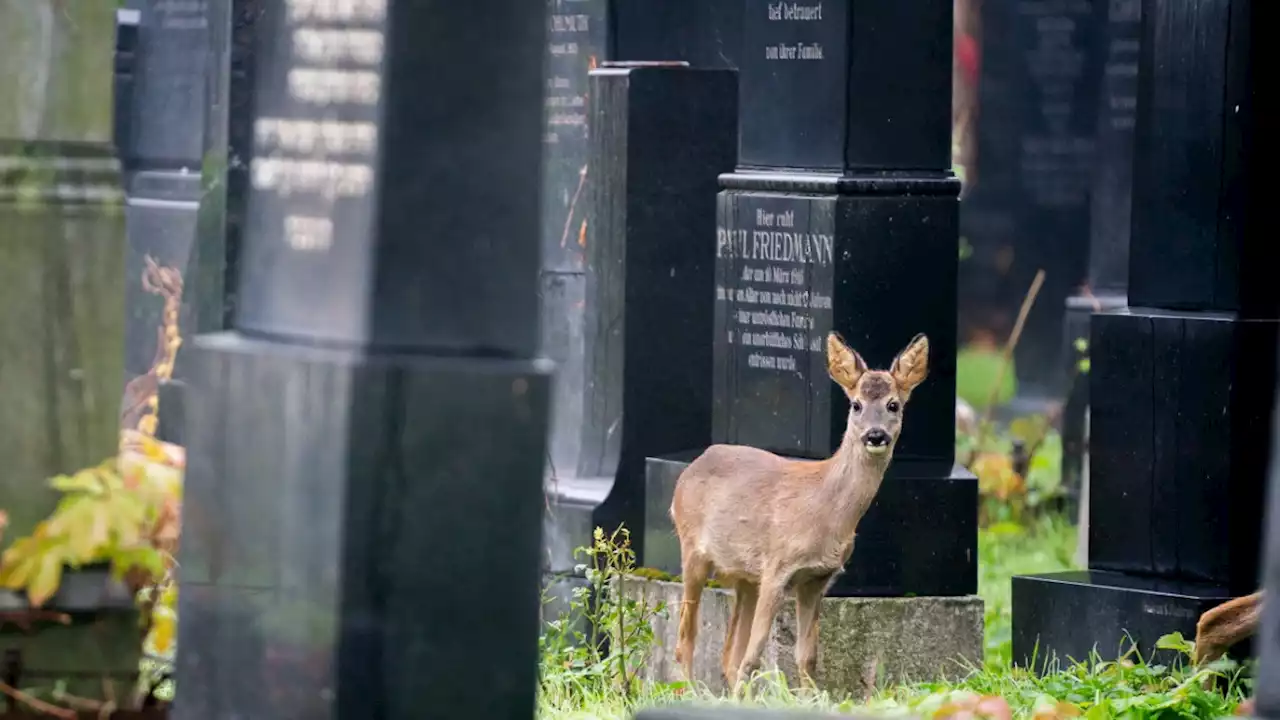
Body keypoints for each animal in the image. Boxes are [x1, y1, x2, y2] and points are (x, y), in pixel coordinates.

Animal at [670, 327, 931, 686]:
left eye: (893, 404)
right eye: (856, 405)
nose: (875, 435)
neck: (825, 511)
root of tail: (688, 471)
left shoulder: (816, 579)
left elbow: (806, 658)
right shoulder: (777, 568)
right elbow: (754, 658)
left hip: (745, 576)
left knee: (728, 655)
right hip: (692, 548)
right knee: (686, 639)